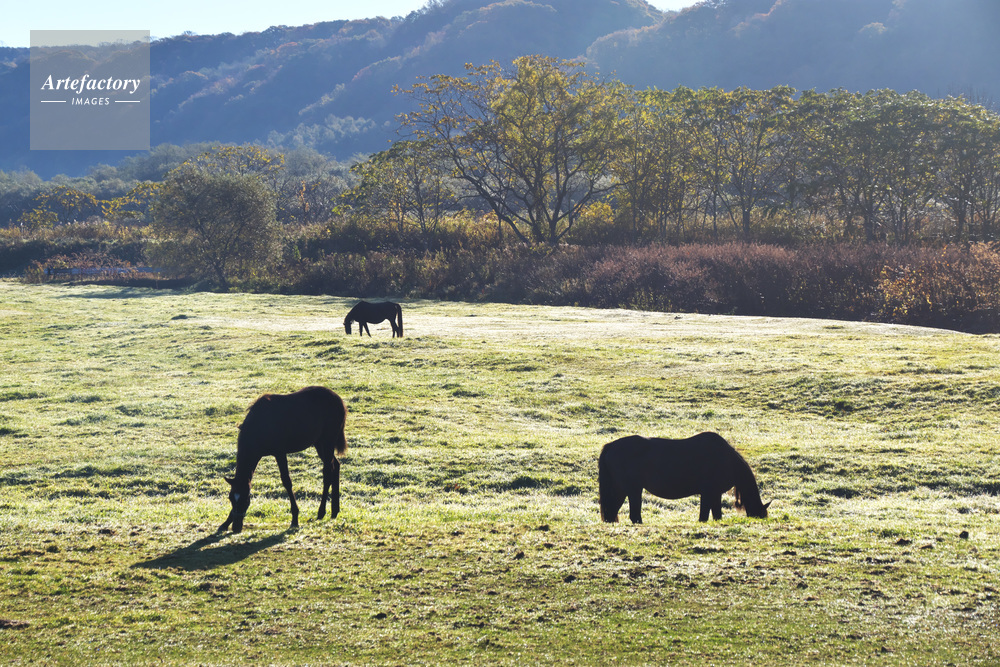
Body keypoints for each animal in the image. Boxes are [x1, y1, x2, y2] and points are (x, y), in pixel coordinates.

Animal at [218, 386, 347, 534]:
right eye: (231, 498)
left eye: (245, 500)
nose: (236, 527)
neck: (259, 425)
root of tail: (338, 399)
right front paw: (225, 522)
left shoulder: (280, 453)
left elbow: (287, 481)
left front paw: (295, 519)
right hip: (319, 443)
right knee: (335, 466)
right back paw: (334, 510)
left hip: (328, 442)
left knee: (327, 473)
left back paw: (321, 512)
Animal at [598, 432, 770, 523]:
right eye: (761, 514)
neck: (725, 460)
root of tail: (610, 446)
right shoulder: (708, 493)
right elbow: (704, 516)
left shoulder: (715, 494)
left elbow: (716, 515)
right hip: (632, 490)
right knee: (632, 515)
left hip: (620, 489)